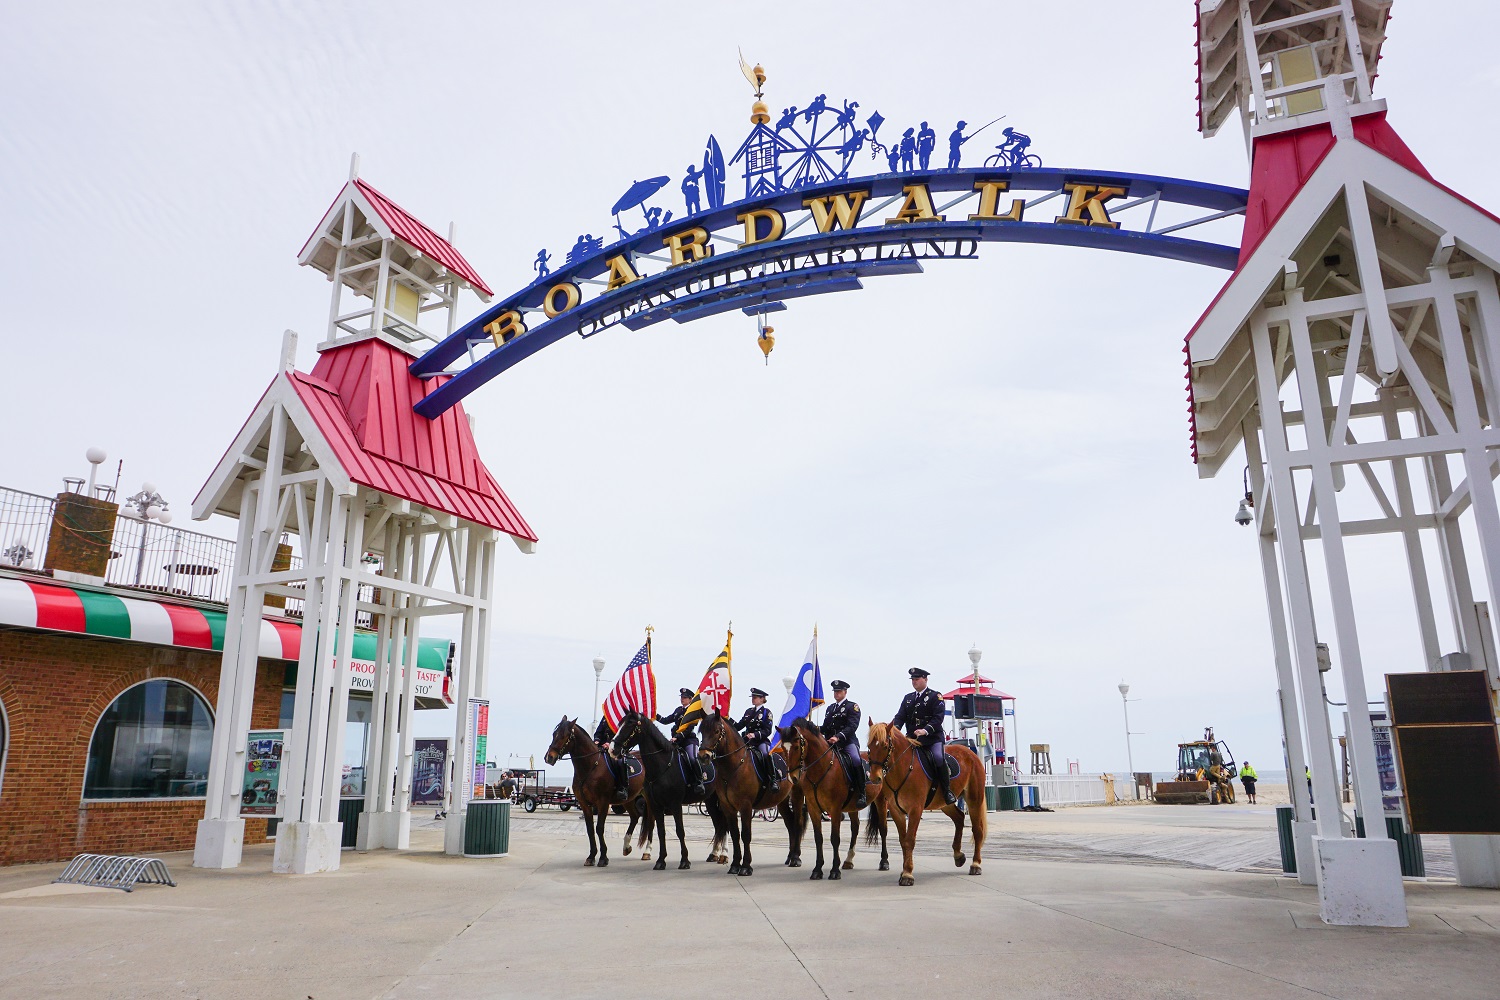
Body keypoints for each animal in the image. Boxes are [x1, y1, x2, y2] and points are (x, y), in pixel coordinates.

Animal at [546, 719, 651, 869]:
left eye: (564, 736)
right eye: (554, 734)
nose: (549, 757)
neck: (590, 766)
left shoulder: (603, 803)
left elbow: (599, 828)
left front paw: (603, 857)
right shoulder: (585, 804)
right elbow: (590, 829)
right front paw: (591, 856)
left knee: (651, 822)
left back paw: (647, 851)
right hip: (628, 799)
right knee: (635, 817)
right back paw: (626, 847)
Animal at [612, 710, 723, 869]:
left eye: (629, 724)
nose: (612, 748)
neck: (662, 765)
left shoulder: (675, 804)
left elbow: (680, 831)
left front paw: (684, 860)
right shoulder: (656, 805)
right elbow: (661, 831)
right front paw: (660, 860)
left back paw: (724, 855)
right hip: (710, 801)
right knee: (719, 824)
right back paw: (714, 854)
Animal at [699, 710, 804, 875]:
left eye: (716, 731)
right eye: (702, 731)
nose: (703, 756)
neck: (734, 768)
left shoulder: (746, 806)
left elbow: (746, 835)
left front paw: (746, 866)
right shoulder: (728, 808)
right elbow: (735, 834)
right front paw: (735, 864)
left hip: (797, 797)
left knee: (797, 823)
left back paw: (796, 858)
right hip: (781, 801)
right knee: (789, 824)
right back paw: (790, 856)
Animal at [780, 722, 882, 881]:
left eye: (796, 747)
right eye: (783, 748)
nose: (793, 778)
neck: (821, 768)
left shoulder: (835, 809)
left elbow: (835, 838)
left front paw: (834, 870)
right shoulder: (813, 808)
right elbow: (818, 838)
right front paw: (817, 869)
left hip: (882, 800)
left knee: (883, 829)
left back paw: (884, 862)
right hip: (852, 808)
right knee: (855, 827)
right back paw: (848, 860)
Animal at [870, 722, 984, 887]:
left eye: (885, 746)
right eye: (869, 746)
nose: (874, 777)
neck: (904, 767)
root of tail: (971, 754)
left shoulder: (915, 810)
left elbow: (909, 840)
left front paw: (907, 874)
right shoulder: (896, 811)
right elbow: (903, 841)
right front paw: (904, 871)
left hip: (974, 800)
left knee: (977, 830)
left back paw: (976, 864)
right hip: (945, 804)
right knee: (959, 818)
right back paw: (958, 856)